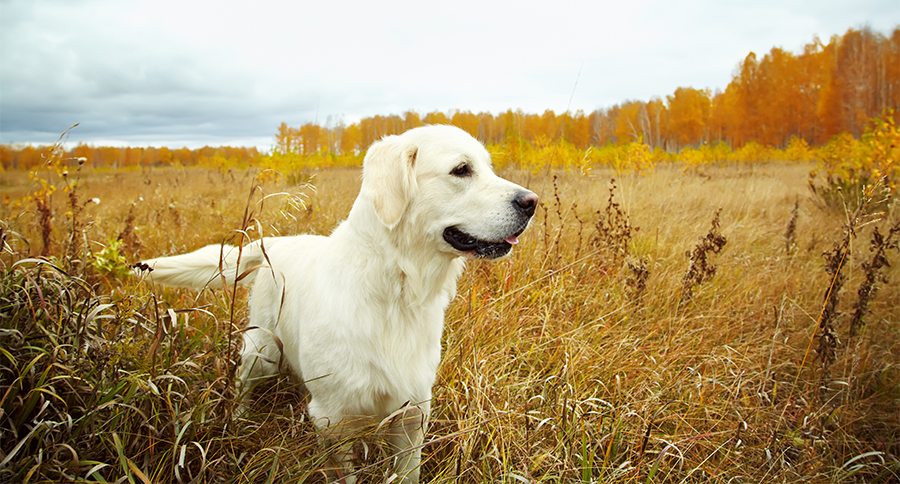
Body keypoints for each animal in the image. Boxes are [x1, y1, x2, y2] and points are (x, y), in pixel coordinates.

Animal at [138, 125, 536, 484]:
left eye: (487, 167)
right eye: (461, 169)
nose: (531, 202)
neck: (395, 291)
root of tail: (273, 244)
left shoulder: (412, 413)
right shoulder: (332, 419)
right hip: (261, 351)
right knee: (242, 383)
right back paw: (239, 418)